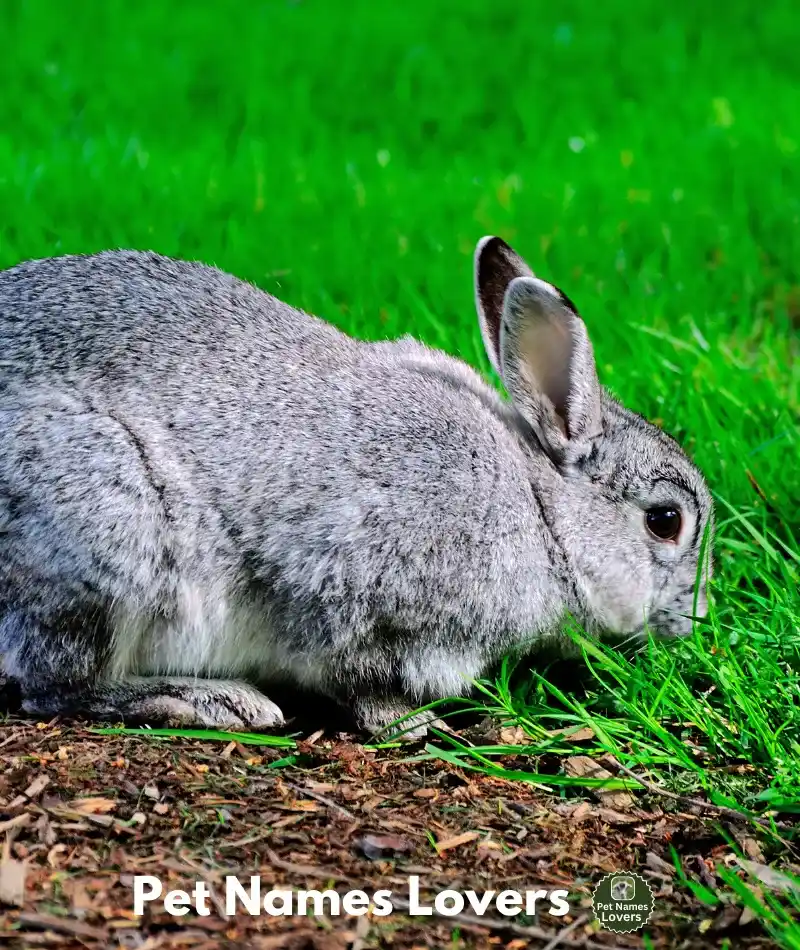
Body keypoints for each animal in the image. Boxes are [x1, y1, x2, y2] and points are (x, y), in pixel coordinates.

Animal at [0, 236, 712, 736]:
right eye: (665, 521)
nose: (696, 618)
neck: (544, 515)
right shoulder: (361, 601)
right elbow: (361, 685)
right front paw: (413, 724)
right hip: (107, 536)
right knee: (51, 685)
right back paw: (210, 701)